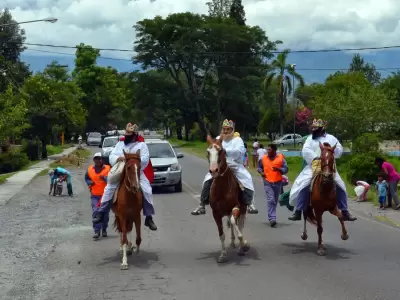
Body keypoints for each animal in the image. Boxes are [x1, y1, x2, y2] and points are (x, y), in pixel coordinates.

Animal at [206, 135, 250, 264]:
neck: (223, 188)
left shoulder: (236, 207)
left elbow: (235, 224)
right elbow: (221, 234)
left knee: (239, 224)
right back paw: (232, 242)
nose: (213, 170)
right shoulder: (216, 213)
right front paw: (223, 255)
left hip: (243, 209)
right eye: (208, 152)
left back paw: (241, 248)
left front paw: (244, 243)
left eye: (221, 151)